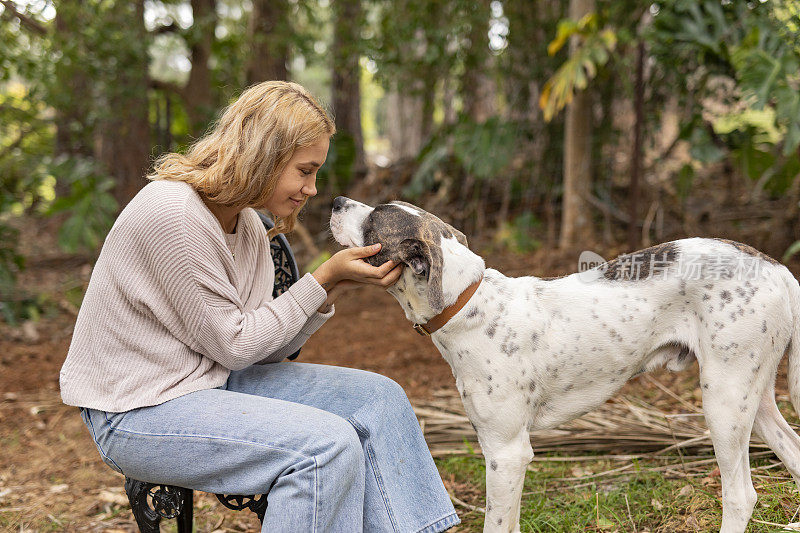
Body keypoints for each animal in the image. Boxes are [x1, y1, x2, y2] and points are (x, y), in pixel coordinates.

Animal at [328, 195, 800, 532]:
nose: (333, 199)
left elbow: (497, 523)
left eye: (374, 220)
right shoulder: (507, 456)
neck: (467, 301)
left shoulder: (506, 452)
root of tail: (776, 267)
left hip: (723, 402)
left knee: (741, 496)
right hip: (752, 398)